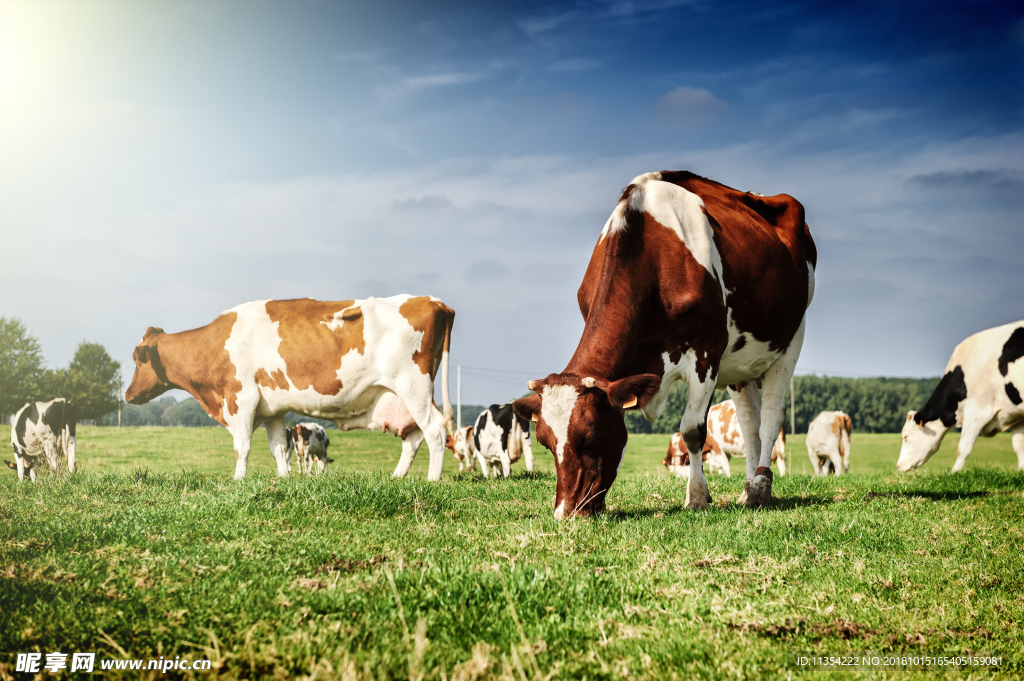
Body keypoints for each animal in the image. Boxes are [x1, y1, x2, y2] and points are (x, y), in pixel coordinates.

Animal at [122, 294, 452, 481]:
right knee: (413, 437)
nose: (127, 394)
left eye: (137, 357)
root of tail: (434, 301)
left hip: (413, 386)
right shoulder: (272, 410)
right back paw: (396, 478)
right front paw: (283, 479)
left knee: (435, 430)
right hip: (404, 396)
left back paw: (432, 481)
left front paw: (238, 480)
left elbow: (241, 446)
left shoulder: (241, 399)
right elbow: (279, 448)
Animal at [512, 169, 815, 516]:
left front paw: (696, 496)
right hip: (741, 362)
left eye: (589, 436)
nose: (565, 513)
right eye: (545, 441)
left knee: (771, 418)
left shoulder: (706, 353)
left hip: (791, 340)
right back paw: (748, 489)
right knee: (749, 422)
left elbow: (693, 430)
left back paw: (761, 486)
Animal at [897, 319, 1024, 471]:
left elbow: (963, 448)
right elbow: (1019, 447)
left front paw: (954, 472)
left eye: (905, 436)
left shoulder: (977, 411)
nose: (898, 465)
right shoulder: (1016, 415)